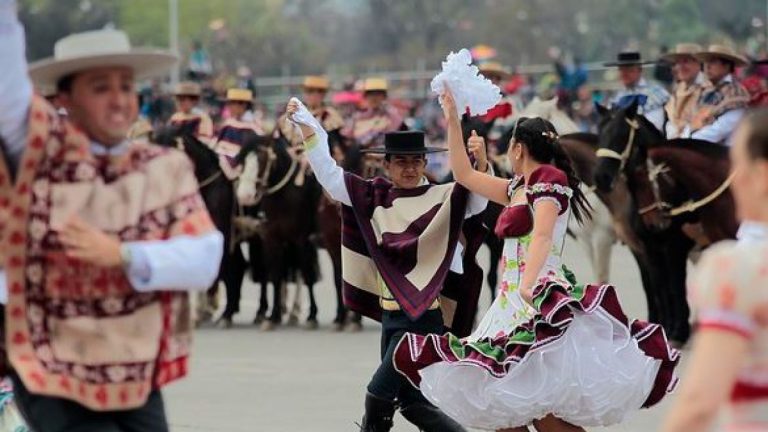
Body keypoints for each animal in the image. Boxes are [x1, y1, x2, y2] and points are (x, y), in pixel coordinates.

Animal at [237, 135, 320, 330]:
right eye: (242, 160)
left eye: (261, 159)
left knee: (300, 272)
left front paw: (312, 315)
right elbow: (275, 275)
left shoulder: (301, 239)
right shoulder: (271, 239)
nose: (244, 196)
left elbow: (307, 273)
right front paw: (273, 317)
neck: (283, 196)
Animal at [592, 100, 736, 344]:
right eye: (600, 133)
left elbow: (675, 286)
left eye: (621, 134)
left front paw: (678, 331)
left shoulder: (674, 247)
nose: (601, 177)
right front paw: (662, 326)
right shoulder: (647, 249)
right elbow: (659, 287)